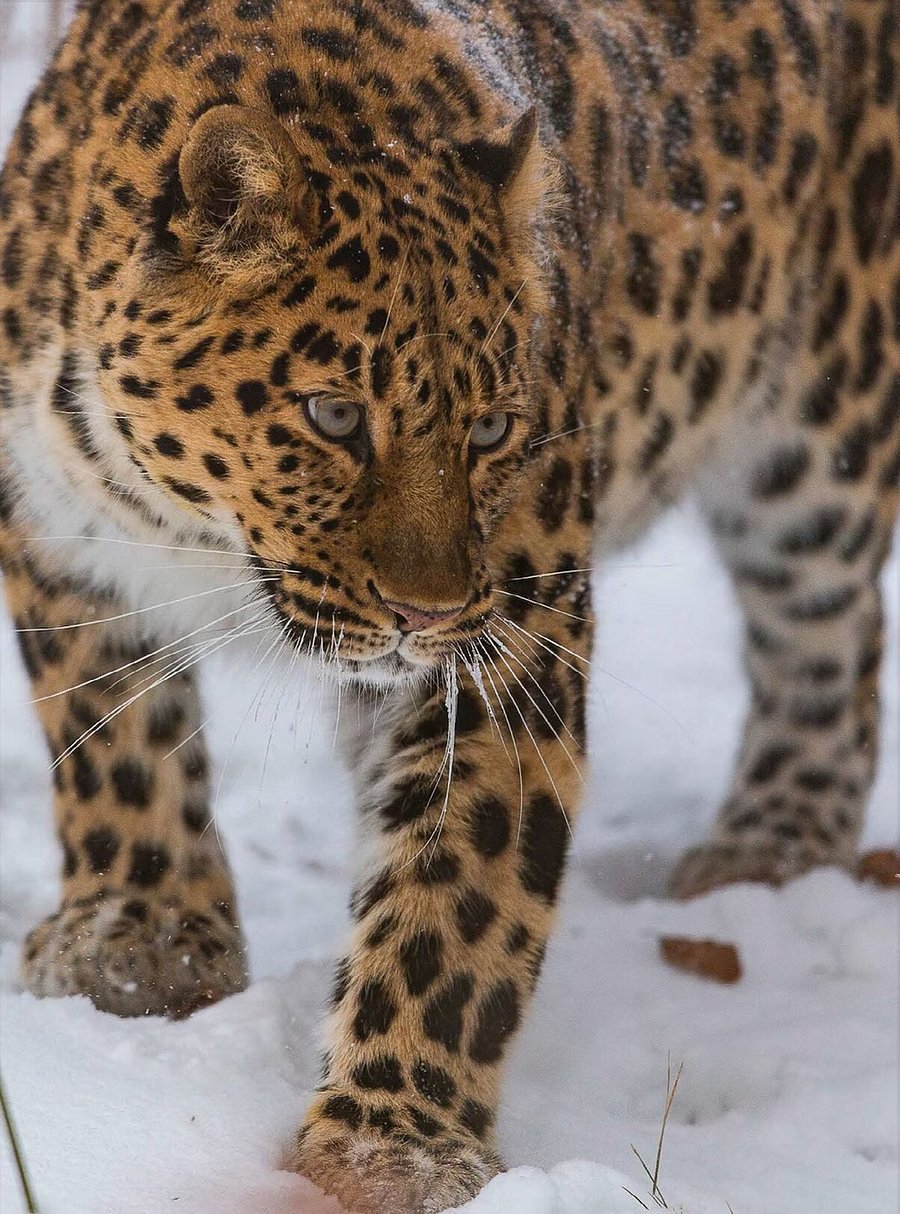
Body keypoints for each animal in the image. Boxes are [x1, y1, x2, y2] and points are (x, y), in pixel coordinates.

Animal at [0, 0, 896, 1209]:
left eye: (492, 428)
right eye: (334, 416)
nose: (426, 616)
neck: (196, 529)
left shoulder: (515, 644)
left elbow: (456, 900)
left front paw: (394, 1146)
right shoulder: (57, 539)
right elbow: (116, 748)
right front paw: (138, 939)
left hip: (823, 426)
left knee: (832, 634)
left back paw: (772, 841)